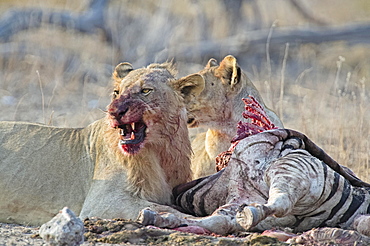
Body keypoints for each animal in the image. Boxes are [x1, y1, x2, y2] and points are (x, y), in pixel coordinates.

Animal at [0, 61, 204, 225]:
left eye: (146, 91)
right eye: (117, 92)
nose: (114, 111)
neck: (159, 151)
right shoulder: (101, 202)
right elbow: (163, 208)